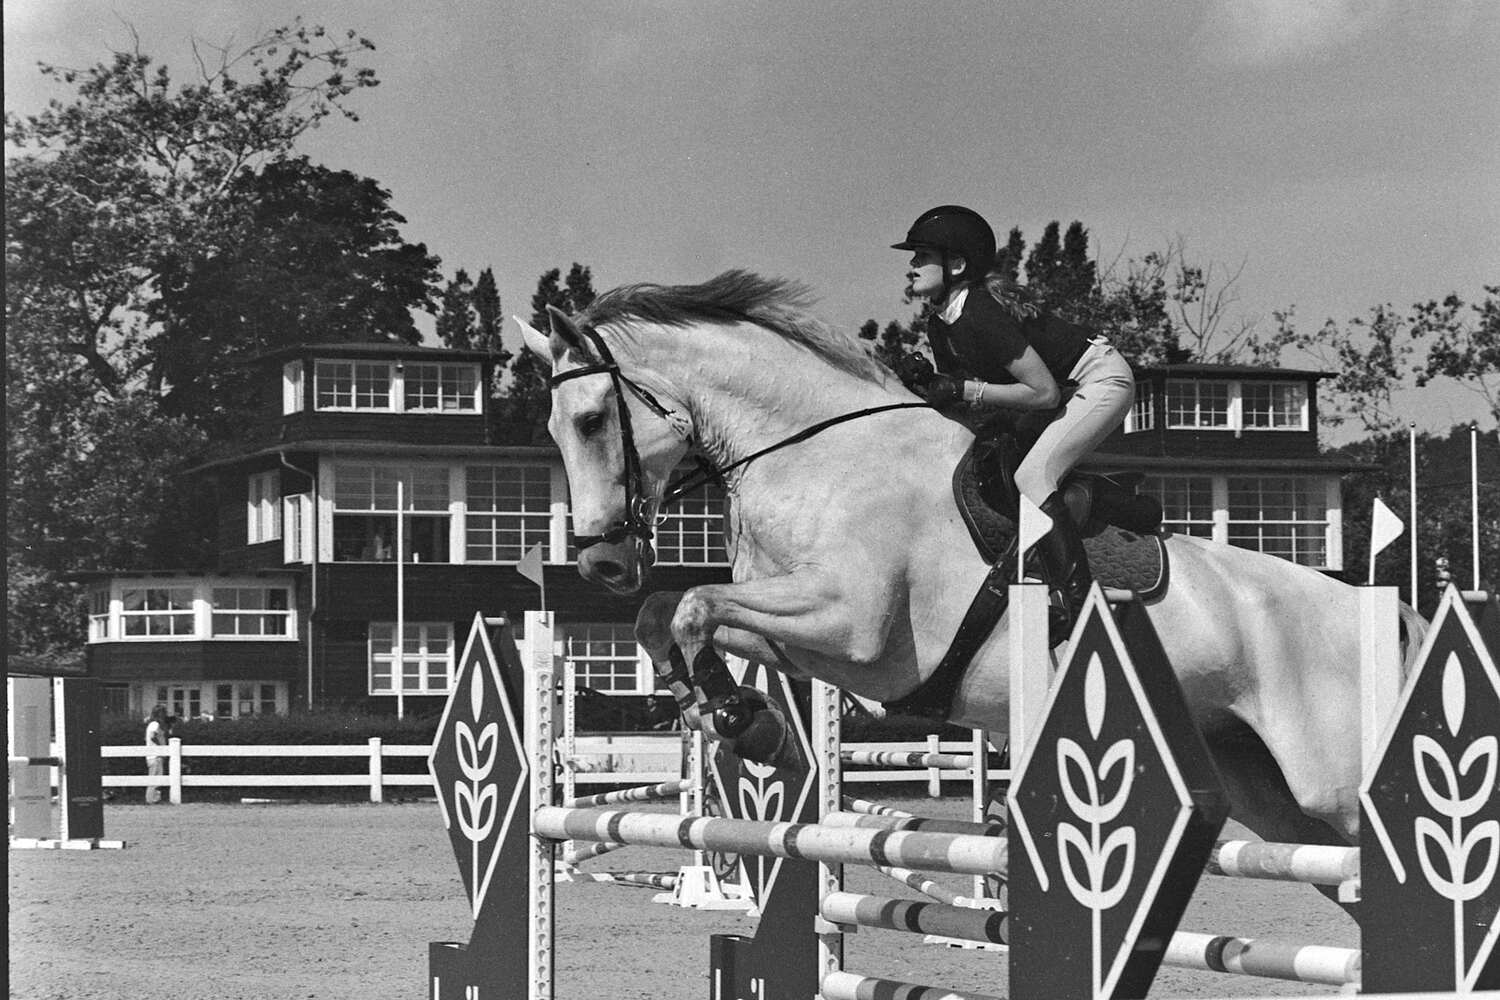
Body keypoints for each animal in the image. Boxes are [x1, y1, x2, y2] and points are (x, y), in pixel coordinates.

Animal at [516, 268, 1423, 872]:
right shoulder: (806, 636)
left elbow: (694, 604)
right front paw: (735, 716)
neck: (816, 452)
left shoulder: (855, 629)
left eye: (591, 420)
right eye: (553, 431)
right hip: (1275, 799)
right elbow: (668, 615)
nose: (601, 560)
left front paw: (743, 720)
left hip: (1330, 782)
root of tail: (1388, 613)